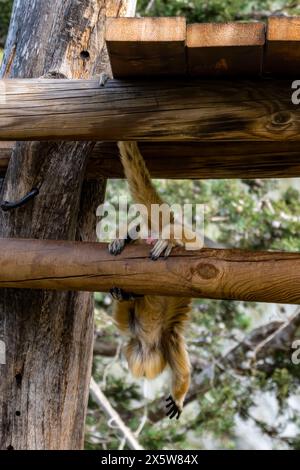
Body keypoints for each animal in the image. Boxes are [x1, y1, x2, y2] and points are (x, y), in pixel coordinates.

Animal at [108, 140, 202, 418]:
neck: (148, 340)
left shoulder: (168, 340)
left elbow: (183, 373)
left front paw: (178, 399)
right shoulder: (144, 334)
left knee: (193, 241)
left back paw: (163, 238)